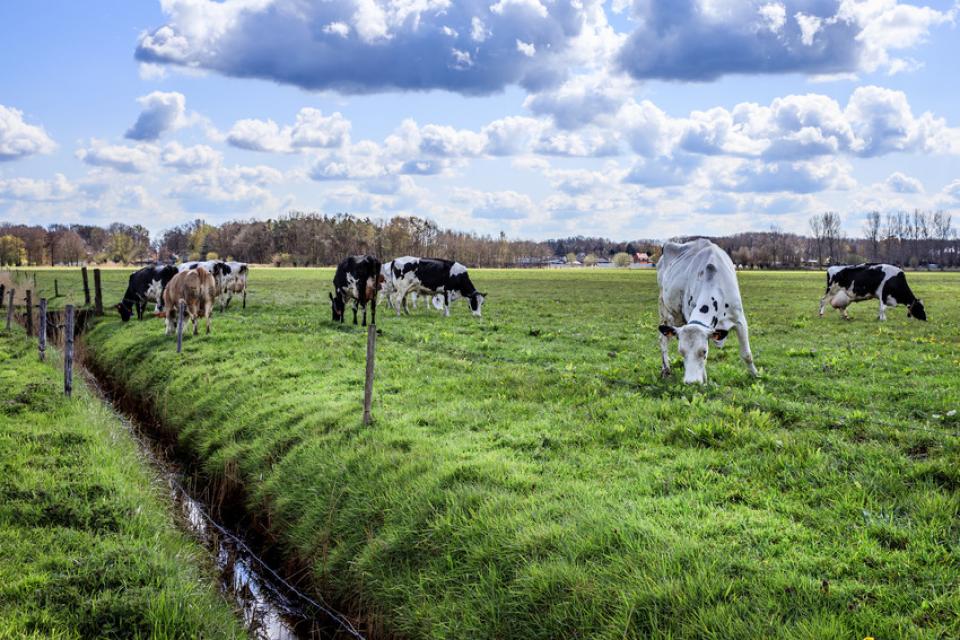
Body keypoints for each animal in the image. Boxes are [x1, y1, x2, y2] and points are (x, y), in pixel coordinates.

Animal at [660, 238, 756, 382]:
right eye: (681, 352)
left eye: (703, 351)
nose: (691, 382)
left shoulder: (740, 320)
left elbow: (747, 354)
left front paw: (756, 375)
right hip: (665, 310)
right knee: (663, 339)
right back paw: (666, 369)